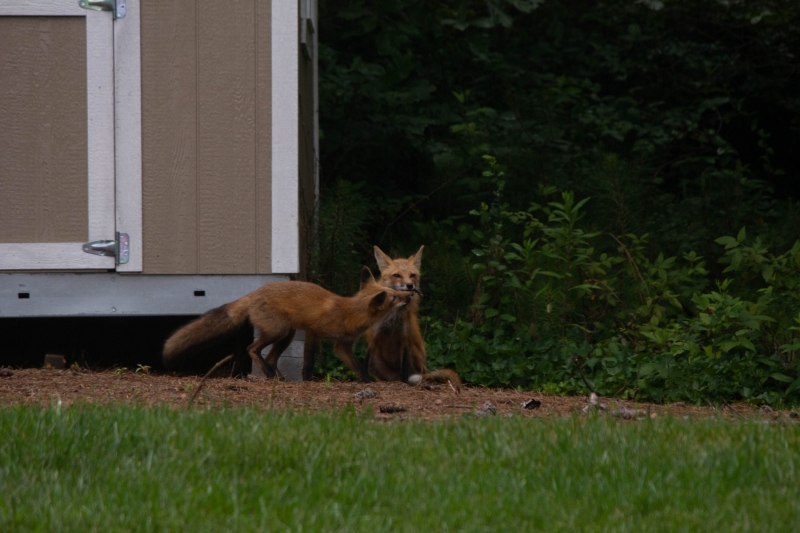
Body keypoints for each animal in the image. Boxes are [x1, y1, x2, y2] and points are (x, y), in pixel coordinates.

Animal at [163, 267, 411, 382]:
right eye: (393, 298)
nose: (410, 294)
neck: (347, 312)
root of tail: (254, 292)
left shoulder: (342, 345)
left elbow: (358, 366)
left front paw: (368, 381)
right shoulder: (314, 332)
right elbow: (308, 362)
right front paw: (307, 379)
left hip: (287, 334)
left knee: (271, 357)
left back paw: (277, 376)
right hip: (278, 330)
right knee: (252, 349)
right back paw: (269, 374)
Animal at [366, 245, 462, 392]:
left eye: (412, 275)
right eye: (397, 275)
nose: (410, 285)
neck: (393, 319)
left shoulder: (405, 339)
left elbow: (405, 369)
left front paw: (405, 382)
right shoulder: (374, 339)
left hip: (416, 354)